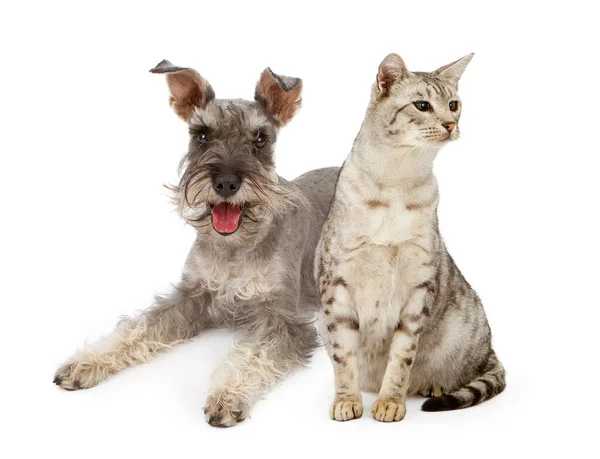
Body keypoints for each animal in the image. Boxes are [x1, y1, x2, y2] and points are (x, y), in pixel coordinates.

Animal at [52, 60, 338, 428]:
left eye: (260, 139)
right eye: (201, 135)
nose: (226, 183)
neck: (235, 247)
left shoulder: (285, 320)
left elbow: (253, 355)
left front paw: (227, 396)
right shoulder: (191, 295)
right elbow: (138, 329)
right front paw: (86, 362)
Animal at [316, 52, 504, 422]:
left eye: (453, 104)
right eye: (422, 105)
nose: (450, 124)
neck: (395, 183)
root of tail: (489, 350)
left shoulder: (419, 285)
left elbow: (402, 357)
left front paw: (391, 402)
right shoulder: (336, 285)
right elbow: (343, 356)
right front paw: (347, 400)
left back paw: (433, 386)